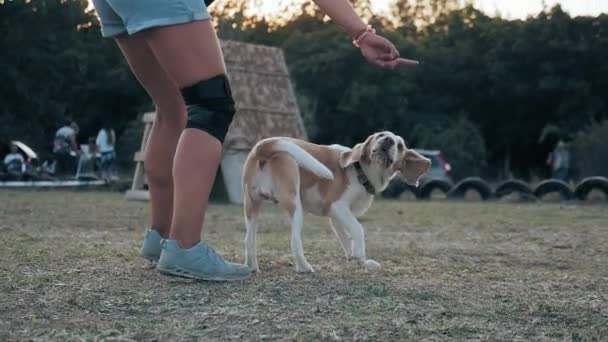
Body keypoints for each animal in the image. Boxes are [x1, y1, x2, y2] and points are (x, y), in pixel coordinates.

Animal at [240, 131, 430, 272]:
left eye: (400, 145)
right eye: (380, 135)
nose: (388, 140)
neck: (362, 172)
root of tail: (264, 148)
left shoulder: (337, 217)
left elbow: (347, 239)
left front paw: (360, 261)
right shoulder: (338, 207)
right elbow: (358, 229)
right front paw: (359, 253)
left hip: (251, 206)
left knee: (249, 240)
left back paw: (252, 267)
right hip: (294, 203)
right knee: (294, 241)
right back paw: (304, 267)